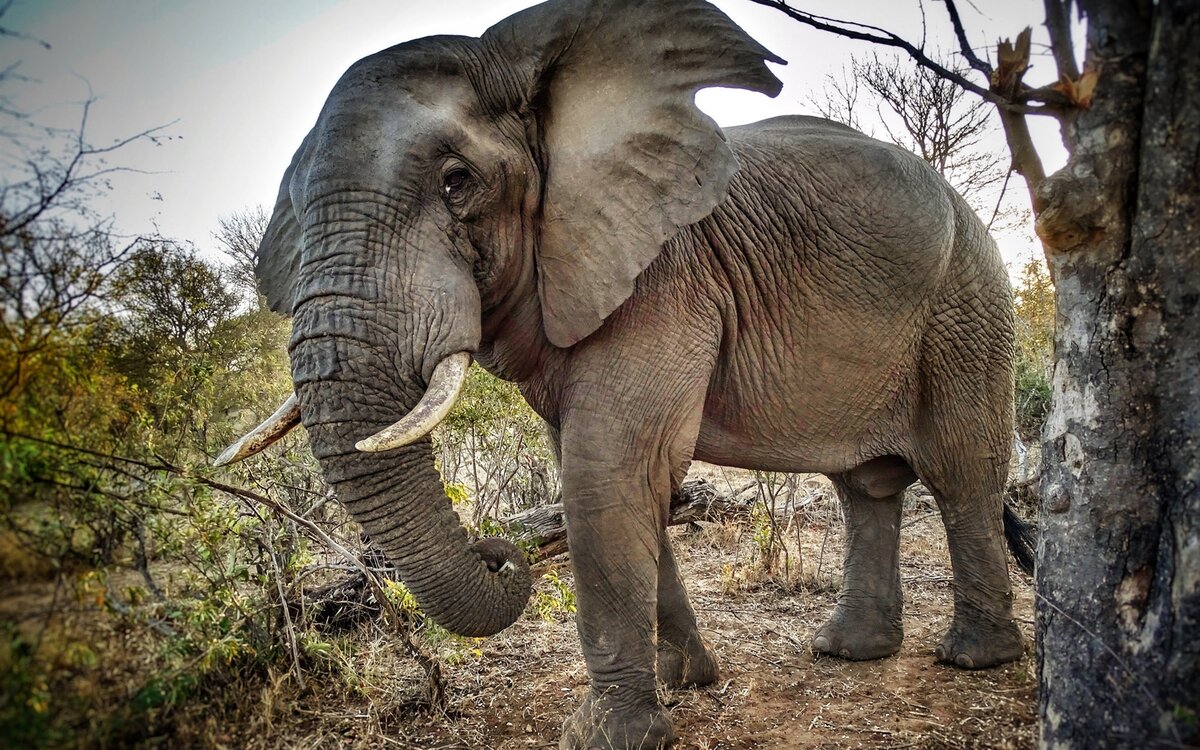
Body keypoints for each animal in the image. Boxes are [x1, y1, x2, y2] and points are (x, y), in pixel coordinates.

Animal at [216, 1, 1032, 744]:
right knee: (866, 486)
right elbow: (614, 473)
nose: (497, 552)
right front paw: (686, 680)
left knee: (962, 470)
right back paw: (849, 651)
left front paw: (605, 736)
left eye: (457, 181)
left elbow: (605, 468)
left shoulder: (666, 278)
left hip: (967, 302)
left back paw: (975, 659)